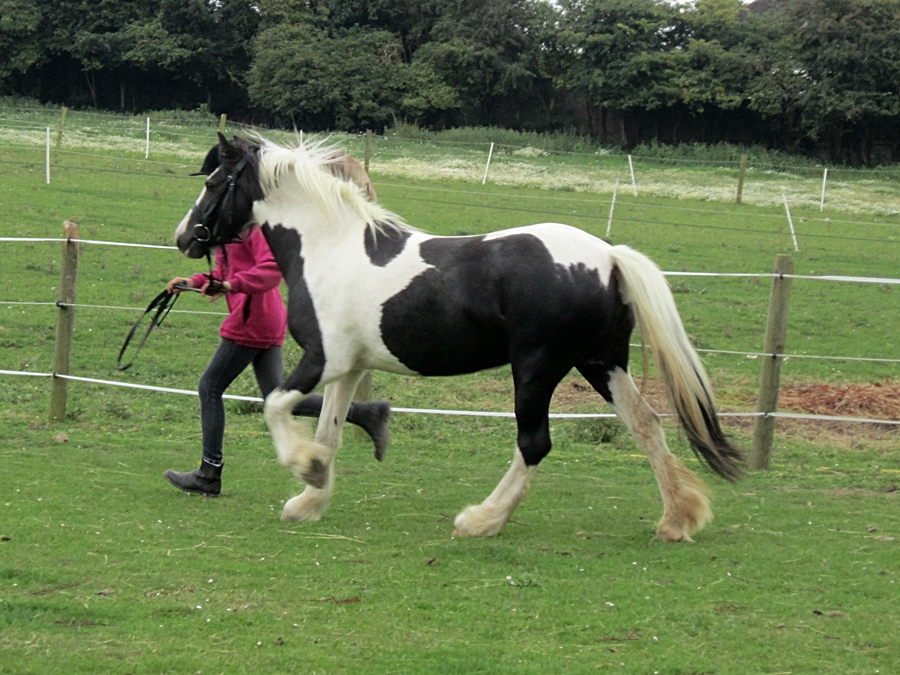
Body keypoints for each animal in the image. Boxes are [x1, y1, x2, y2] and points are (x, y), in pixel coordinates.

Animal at [174, 133, 742, 542]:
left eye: (216, 182)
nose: (185, 237)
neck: (329, 247)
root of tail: (609, 257)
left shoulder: (321, 359)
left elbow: (275, 406)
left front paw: (306, 471)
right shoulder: (349, 367)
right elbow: (330, 430)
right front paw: (309, 500)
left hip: (537, 369)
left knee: (535, 443)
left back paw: (481, 520)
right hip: (602, 362)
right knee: (646, 425)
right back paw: (677, 519)